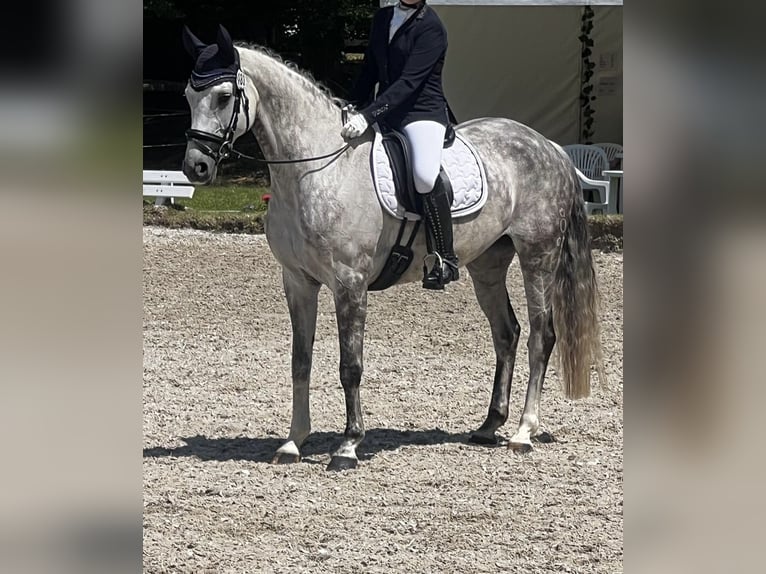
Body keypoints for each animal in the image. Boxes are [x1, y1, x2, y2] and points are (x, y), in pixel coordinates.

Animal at [181, 25, 605, 471]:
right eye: (189, 96)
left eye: (223, 96)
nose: (196, 167)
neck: (314, 170)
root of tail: (548, 145)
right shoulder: (297, 281)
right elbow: (300, 361)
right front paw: (293, 442)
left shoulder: (349, 282)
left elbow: (350, 366)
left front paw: (348, 446)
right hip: (488, 265)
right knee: (506, 333)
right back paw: (489, 425)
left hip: (538, 255)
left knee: (541, 334)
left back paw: (524, 431)